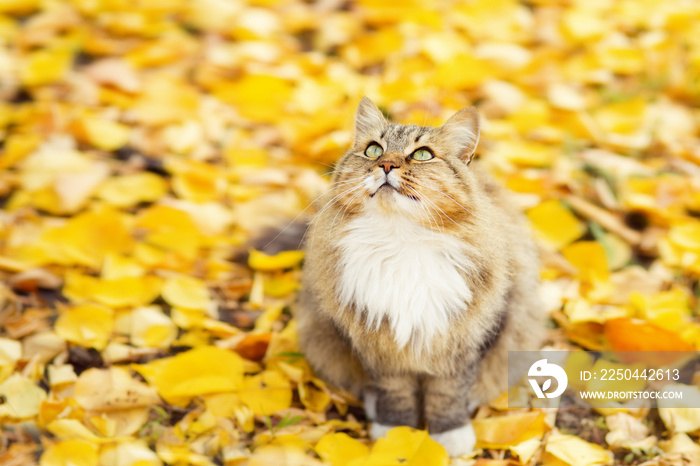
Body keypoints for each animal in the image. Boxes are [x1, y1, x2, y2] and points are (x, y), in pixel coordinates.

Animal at [296, 96, 548, 456]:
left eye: (422, 154)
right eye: (374, 150)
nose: (386, 165)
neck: (401, 242)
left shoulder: (467, 341)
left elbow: (448, 393)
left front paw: (450, 434)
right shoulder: (377, 347)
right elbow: (394, 391)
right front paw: (395, 431)